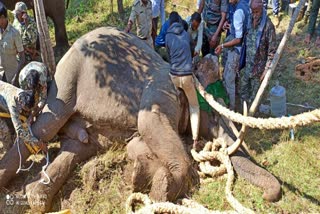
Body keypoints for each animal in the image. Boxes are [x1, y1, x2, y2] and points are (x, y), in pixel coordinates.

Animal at [0, 27, 280, 212]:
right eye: (212, 111)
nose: (268, 197)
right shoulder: (160, 91)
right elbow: (148, 123)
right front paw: (160, 194)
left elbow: (137, 142)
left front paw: (139, 177)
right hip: (66, 81)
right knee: (46, 127)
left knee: (79, 145)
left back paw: (37, 197)